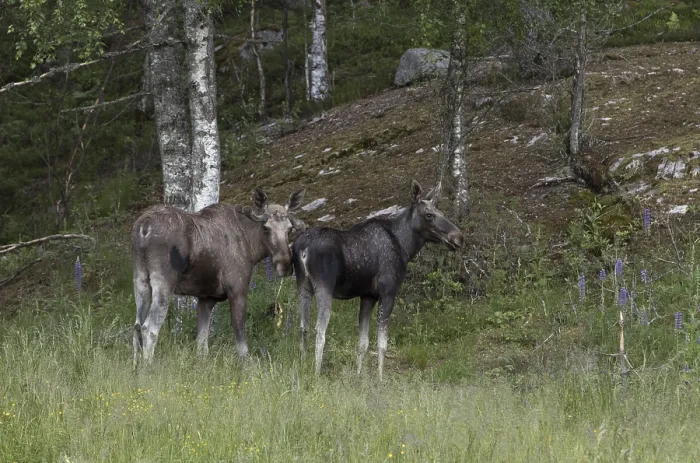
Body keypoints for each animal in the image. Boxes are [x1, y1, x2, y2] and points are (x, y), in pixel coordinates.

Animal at [131, 187, 306, 368]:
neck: (252, 248)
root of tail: (143, 228)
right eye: (266, 228)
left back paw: (136, 368)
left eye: (289, 229)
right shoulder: (237, 290)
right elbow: (240, 338)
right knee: (149, 328)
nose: (285, 266)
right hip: (164, 281)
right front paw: (247, 366)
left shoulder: (206, 298)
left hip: (140, 279)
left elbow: (202, 344)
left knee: (136, 326)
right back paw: (148, 367)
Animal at [292, 180, 464, 380]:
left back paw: (303, 365)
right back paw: (316, 373)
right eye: (429, 215)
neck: (406, 247)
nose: (458, 237)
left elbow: (363, 342)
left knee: (303, 327)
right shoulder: (388, 292)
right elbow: (382, 343)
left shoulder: (368, 296)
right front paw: (380, 378)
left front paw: (359, 376)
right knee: (319, 331)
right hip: (324, 287)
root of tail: (303, 248)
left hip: (303, 285)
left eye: (441, 212)